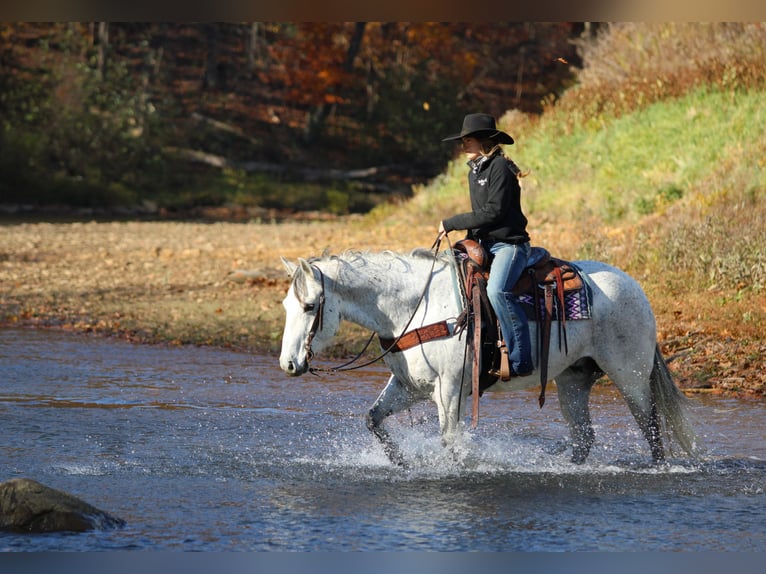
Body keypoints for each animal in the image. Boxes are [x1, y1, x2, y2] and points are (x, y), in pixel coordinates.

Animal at [278, 246, 697, 466]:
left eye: (311, 306)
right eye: (286, 305)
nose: (288, 364)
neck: (417, 306)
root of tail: (635, 288)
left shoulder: (449, 390)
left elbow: (450, 440)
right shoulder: (410, 387)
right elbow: (374, 420)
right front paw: (402, 463)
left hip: (631, 378)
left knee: (652, 429)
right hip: (573, 380)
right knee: (583, 437)